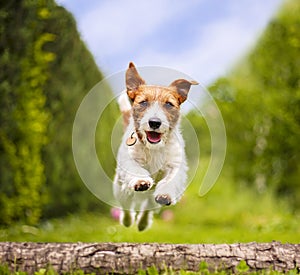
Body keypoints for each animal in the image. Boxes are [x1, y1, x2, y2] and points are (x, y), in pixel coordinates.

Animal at [112, 62, 197, 231]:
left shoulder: (175, 164)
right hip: (120, 189)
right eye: (143, 102)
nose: (155, 122)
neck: (154, 148)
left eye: (169, 104)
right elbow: (136, 169)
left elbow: (170, 179)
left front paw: (165, 195)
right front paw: (141, 181)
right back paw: (127, 221)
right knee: (126, 205)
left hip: (150, 200)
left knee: (147, 208)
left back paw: (143, 224)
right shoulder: (130, 160)